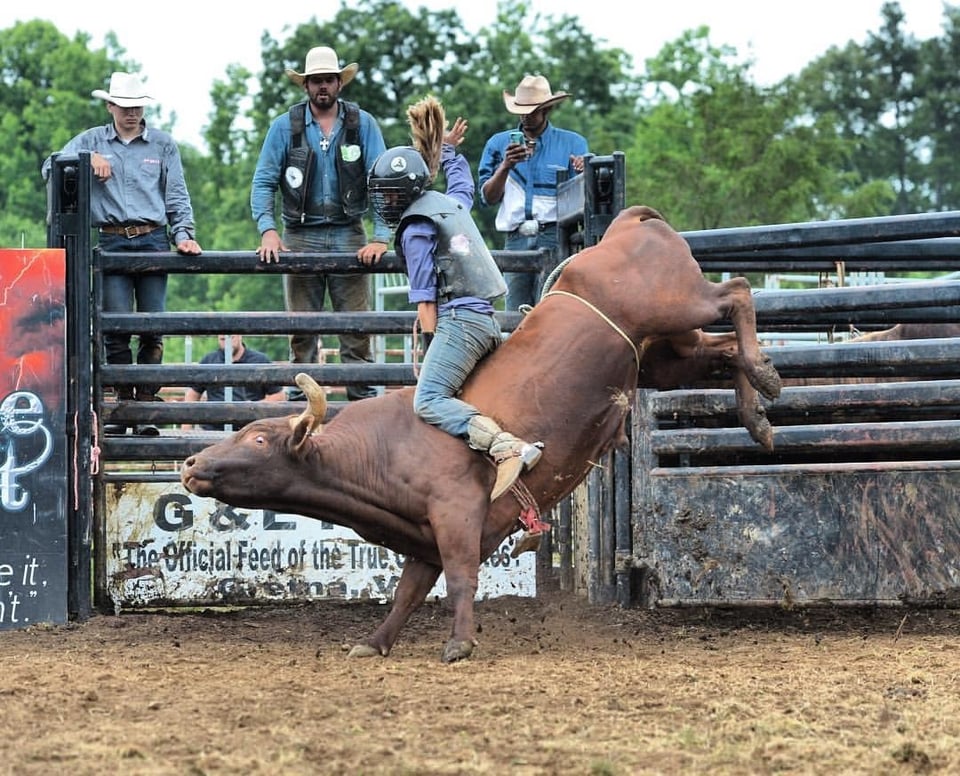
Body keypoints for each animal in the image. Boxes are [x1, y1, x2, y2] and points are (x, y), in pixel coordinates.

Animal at [180, 205, 780, 660]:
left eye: (258, 440)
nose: (189, 465)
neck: (379, 452)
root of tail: (624, 226)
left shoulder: (456, 514)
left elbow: (461, 579)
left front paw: (460, 644)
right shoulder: (422, 538)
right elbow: (407, 593)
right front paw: (375, 643)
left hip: (676, 304)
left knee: (737, 292)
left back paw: (766, 375)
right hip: (663, 355)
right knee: (723, 351)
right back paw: (760, 413)